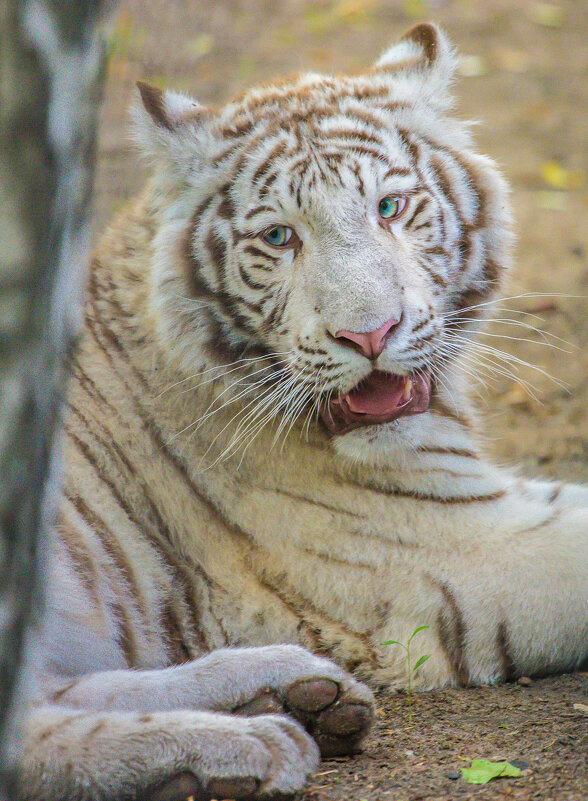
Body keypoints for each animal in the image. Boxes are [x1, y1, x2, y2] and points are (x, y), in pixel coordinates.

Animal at [19, 21, 588, 800]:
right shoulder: (453, 548)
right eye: (279, 238)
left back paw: (291, 689)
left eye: (388, 208)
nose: (371, 335)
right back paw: (241, 747)